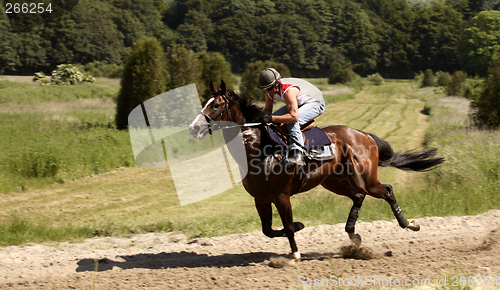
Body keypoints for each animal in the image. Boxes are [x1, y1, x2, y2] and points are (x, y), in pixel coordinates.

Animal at [188, 80, 446, 260]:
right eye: (204, 103)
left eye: (216, 104)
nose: (193, 128)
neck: (258, 150)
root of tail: (364, 134)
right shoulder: (260, 198)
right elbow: (268, 230)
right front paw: (300, 228)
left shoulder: (281, 196)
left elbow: (288, 227)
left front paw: (295, 253)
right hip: (334, 181)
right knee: (358, 197)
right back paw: (353, 235)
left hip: (363, 178)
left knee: (387, 190)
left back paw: (409, 223)